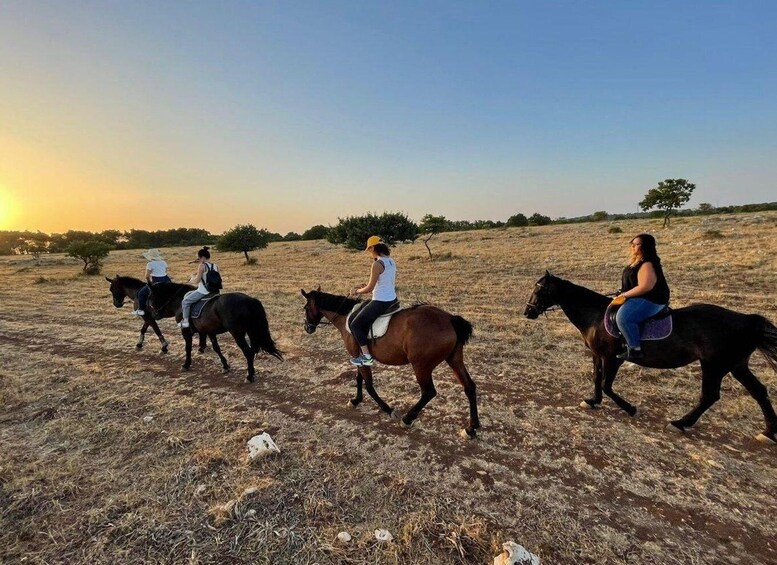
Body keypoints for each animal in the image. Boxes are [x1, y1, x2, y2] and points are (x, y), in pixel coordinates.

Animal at [149, 282, 282, 384]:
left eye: (151, 297)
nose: (153, 314)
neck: (180, 300)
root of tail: (250, 300)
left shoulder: (186, 331)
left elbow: (188, 348)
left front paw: (186, 364)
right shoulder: (210, 331)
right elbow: (216, 348)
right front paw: (225, 366)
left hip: (237, 333)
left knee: (248, 352)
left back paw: (249, 376)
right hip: (250, 331)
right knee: (253, 351)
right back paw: (251, 373)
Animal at [302, 286, 478, 436]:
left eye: (305, 308)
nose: (307, 328)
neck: (346, 316)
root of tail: (450, 319)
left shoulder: (358, 355)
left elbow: (369, 385)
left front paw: (387, 409)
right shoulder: (359, 357)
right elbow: (359, 379)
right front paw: (356, 400)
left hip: (421, 366)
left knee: (429, 392)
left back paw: (407, 419)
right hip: (454, 359)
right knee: (469, 387)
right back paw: (471, 428)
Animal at [520, 270, 776, 442]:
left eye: (540, 289)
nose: (527, 312)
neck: (596, 315)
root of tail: (745, 320)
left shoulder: (614, 357)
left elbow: (606, 385)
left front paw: (630, 408)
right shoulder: (598, 355)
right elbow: (596, 380)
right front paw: (592, 401)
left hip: (714, 365)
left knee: (709, 396)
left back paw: (680, 423)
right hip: (736, 365)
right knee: (759, 392)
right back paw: (768, 432)